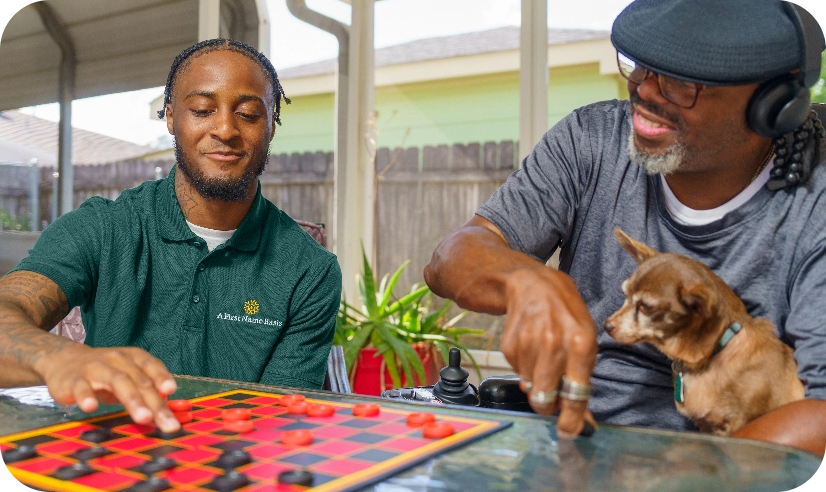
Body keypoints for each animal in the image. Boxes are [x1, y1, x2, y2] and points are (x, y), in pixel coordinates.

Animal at [600, 227, 800, 434]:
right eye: (625, 295)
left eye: (646, 306)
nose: (607, 325)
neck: (718, 350)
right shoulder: (706, 427)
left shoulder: (737, 425)